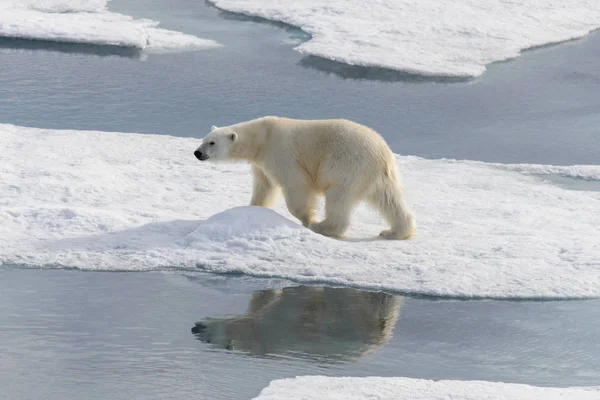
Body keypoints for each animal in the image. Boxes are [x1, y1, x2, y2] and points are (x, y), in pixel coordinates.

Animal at [195, 117, 414, 239]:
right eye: (204, 140)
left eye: (212, 143)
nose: (197, 153)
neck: (262, 138)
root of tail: (382, 153)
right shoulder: (261, 164)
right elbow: (264, 187)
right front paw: (253, 209)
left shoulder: (281, 152)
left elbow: (295, 184)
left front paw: (308, 219)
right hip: (379, 175)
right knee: (389, 200)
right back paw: (394, 232)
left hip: (346, 165)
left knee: (338, 197)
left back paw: (322, 227)